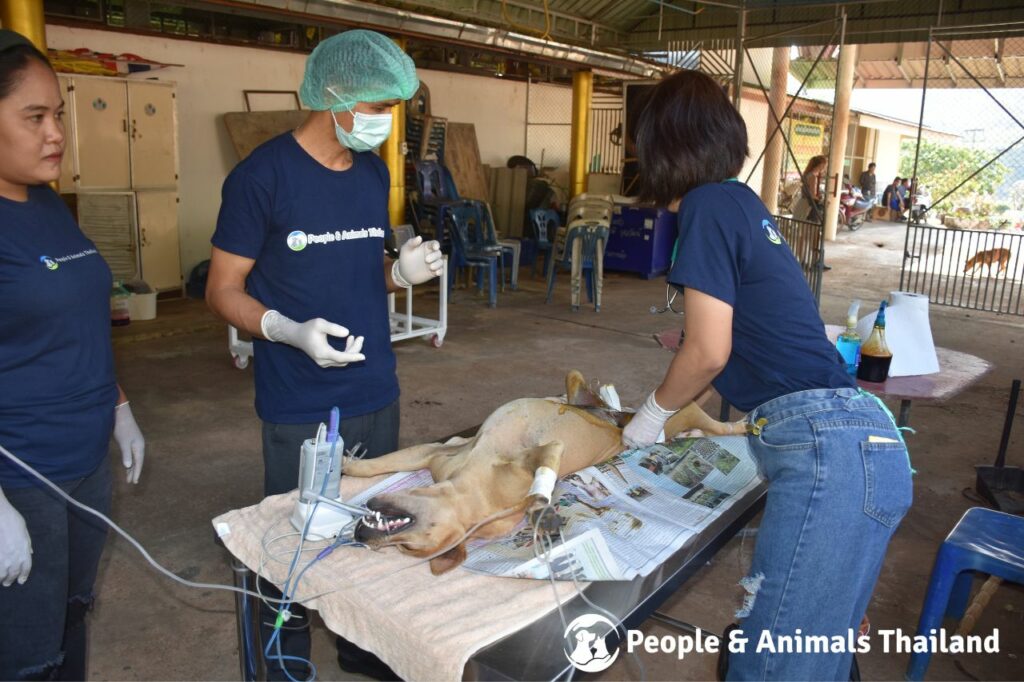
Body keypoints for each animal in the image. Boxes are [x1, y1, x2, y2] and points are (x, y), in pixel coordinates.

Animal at [346, 368, 745, 569]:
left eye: (411, 546)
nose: (361, 537)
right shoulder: (437, 455)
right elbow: (378, 465)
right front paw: (347, 465)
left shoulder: (545, 453)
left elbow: (542, 480)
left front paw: (542, 510)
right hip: (581, 386)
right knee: (588, 397)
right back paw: (598, 402)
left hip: (683, 411)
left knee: (715, 425)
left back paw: (741, 426)